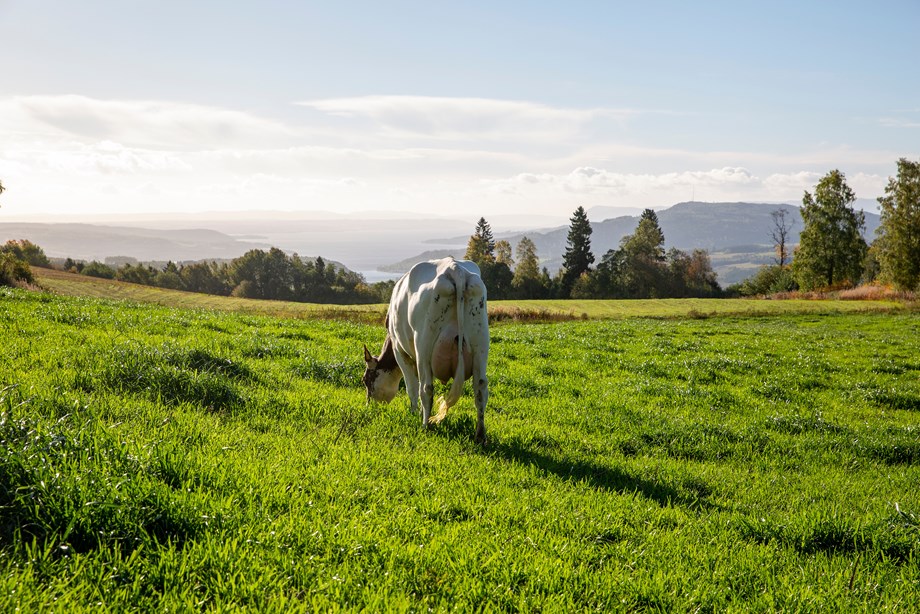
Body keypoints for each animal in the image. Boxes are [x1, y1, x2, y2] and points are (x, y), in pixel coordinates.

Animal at [362, 258, 488, 446]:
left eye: (365, 380)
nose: (368, 405)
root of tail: (455, 269)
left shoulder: (401, 352)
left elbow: (412, 387)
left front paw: (414, 413)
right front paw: (420, 412)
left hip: (424, 345)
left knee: (426, 388)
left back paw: (425, 426)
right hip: (480, 343)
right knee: (480, 388)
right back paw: (480, 435)